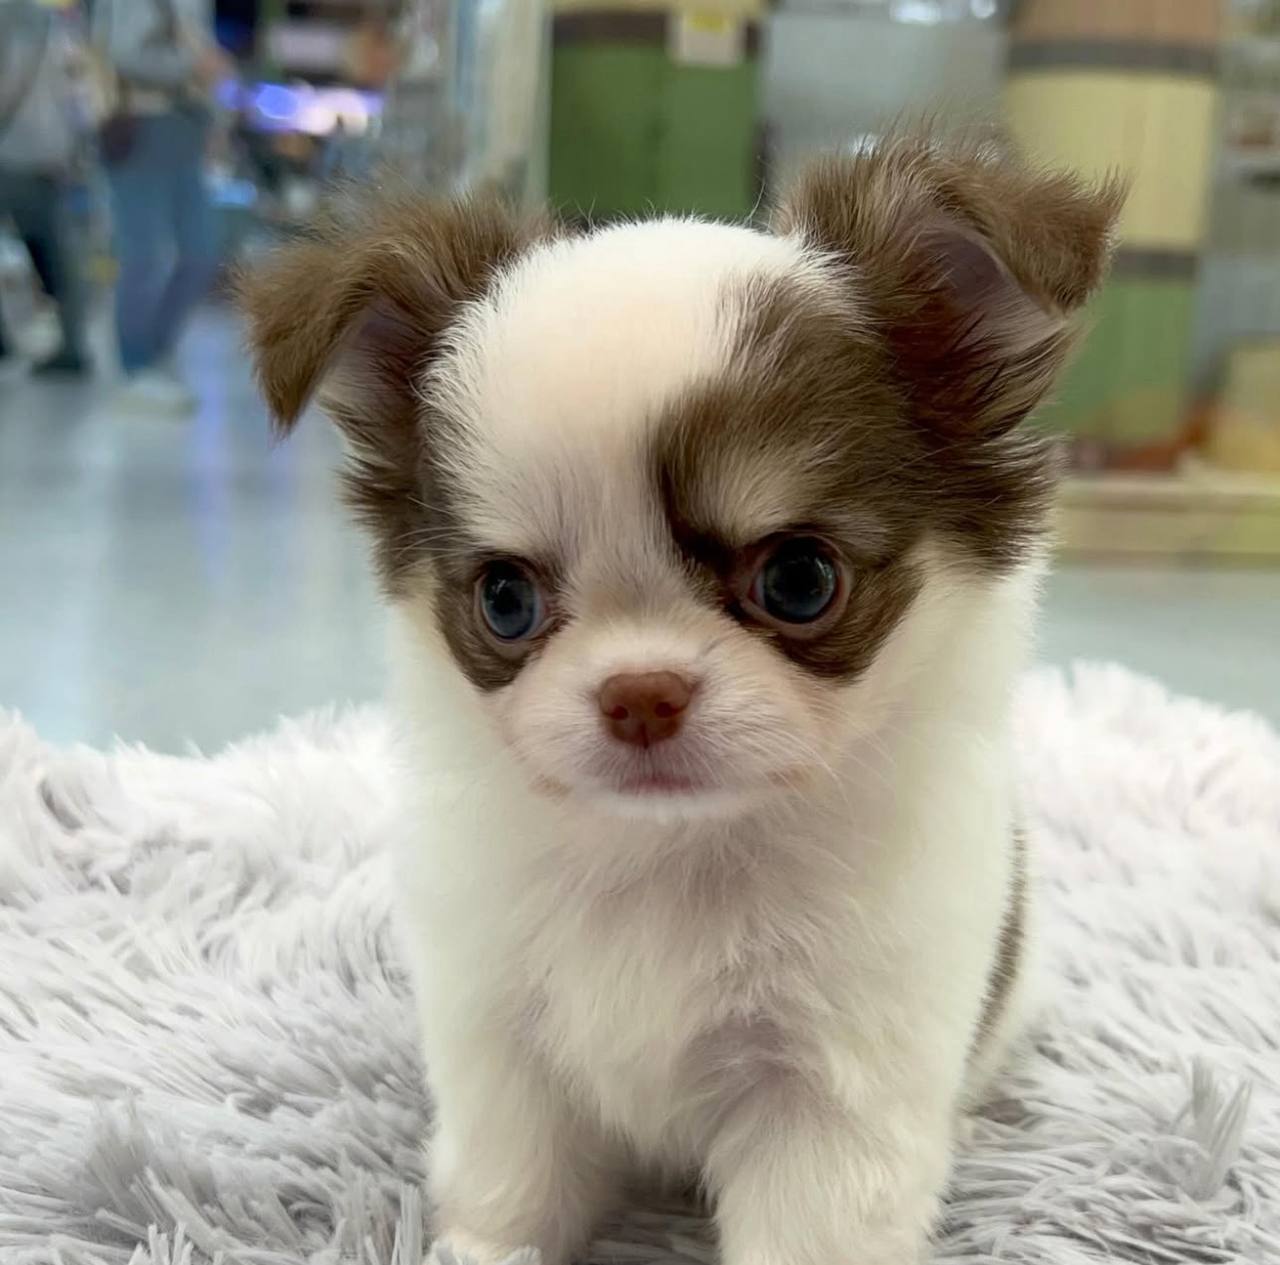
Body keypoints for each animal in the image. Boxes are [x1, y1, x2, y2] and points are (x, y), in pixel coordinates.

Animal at [240, 132, 1120, 1265]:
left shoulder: (830, 1103)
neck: (672, 856)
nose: (639, 692)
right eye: (505, 599)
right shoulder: (504, 1051)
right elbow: (510, 1190)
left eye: (798, 579)